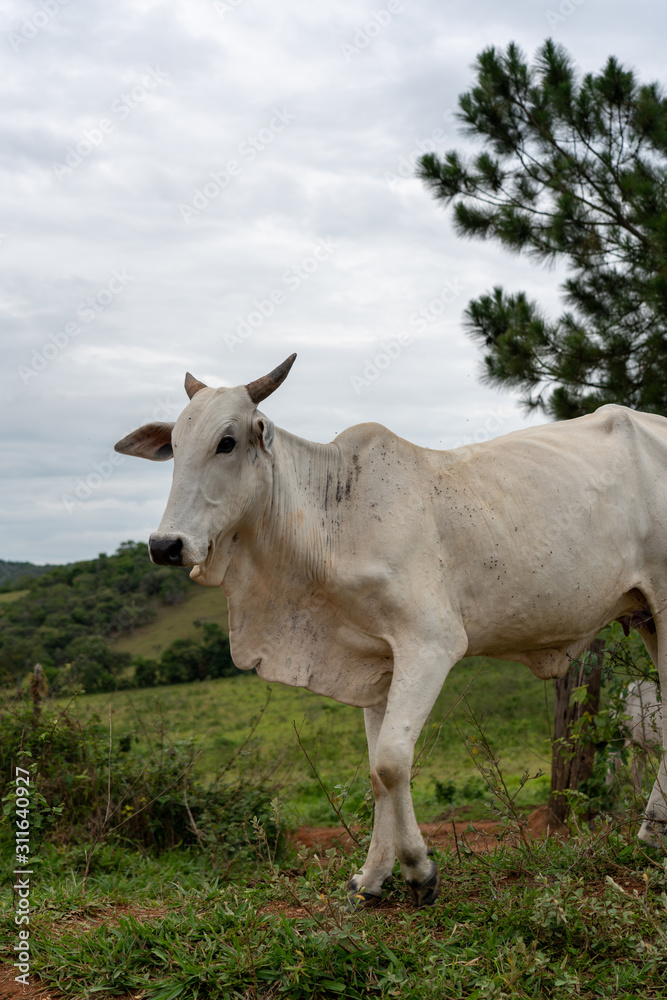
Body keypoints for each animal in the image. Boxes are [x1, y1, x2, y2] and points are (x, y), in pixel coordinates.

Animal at [117, 354, 667, 908]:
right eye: (175, 447)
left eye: (226, 442)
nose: (165, 545)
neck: (331, 519)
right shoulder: (376, 663)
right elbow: (375, 772)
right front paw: (372, 877)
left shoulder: (431, 645)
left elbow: (390, 762)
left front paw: (419, 870)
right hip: (644, 614)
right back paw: (652, 832)